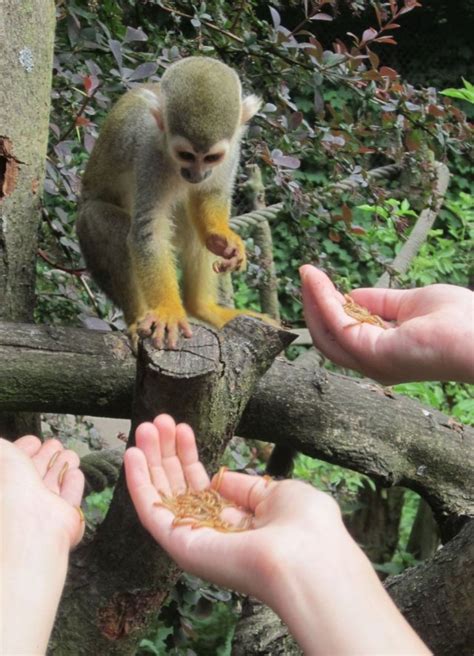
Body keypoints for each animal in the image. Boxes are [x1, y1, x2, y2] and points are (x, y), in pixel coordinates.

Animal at [78, 57, 270, 348]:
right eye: (186, 155)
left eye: (211, 157)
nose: (196, 175)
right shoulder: (149, 154)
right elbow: (149, 230)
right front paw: (168, 311)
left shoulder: (233, 149)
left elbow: (210, 195)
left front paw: (222, 237)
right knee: (104, 221)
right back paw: (139, 318)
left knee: (193, 233)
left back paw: (201, 307)